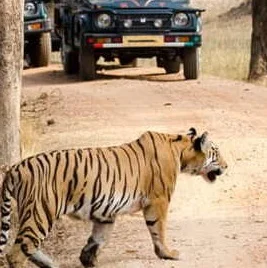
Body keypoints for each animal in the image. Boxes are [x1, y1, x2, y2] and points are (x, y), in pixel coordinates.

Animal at [0, 128, 228, 268]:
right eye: (216, 152)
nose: (227, 166)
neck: (180, 151)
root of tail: (15, 168)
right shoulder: (158, 200)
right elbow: (159, 229)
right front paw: (167, 253)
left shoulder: (106, 211)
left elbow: (98, 237)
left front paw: (87, 259)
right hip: (40, 212)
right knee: (17, 252)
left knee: (28, 247)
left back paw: (52, 264)